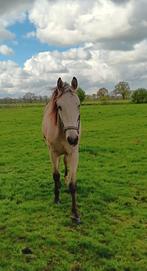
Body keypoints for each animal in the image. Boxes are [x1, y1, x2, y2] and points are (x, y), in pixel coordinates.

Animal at [42, 77, 81, 224]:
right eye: (59, 107)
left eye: (78, 105)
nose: (73, 139)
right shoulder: (52, 153)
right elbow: (55, 175)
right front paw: (57, 198)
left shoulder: (74, 153)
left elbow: (73, 184)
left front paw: (75, 214)